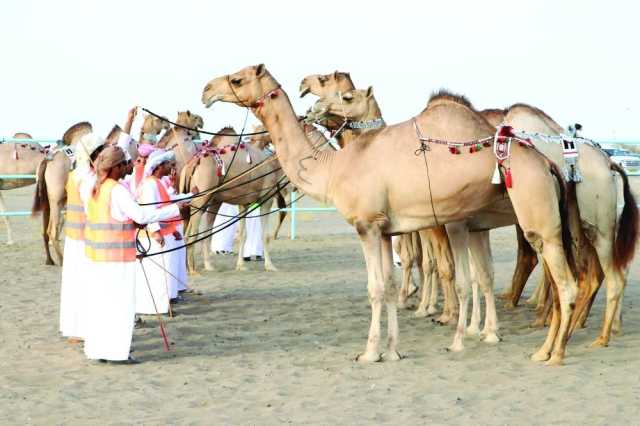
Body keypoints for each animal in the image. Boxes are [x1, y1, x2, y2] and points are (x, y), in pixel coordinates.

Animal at [31, 121, 92, 264]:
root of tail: (47, 160)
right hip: (57, 199)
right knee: (53, 230)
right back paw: (61, 260)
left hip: (51, 201)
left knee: (47, 230)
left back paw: (50, 260)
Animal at [178, 126, 282, 272]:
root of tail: (192, 165)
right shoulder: (267, 199)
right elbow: (265, 235)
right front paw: (270, 266)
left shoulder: (244, 203)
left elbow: (242, 234)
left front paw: (241, 265)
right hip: (201, 198)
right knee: (192, 233)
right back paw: (193, 269)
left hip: (205, 200)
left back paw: (206, 266)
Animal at [202, 65, 584, 364]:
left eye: (236, 79)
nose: (206, 90)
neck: (333, 167)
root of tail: (549, 164)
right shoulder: (385, 229)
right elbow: (387, 285)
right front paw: (393, 350)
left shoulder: (366, 225)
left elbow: (374, 287)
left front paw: (370, 353)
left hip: (538, 218)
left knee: (566, 283)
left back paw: (552, 352)